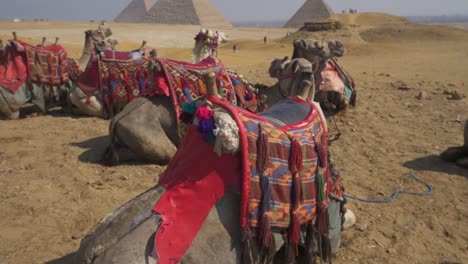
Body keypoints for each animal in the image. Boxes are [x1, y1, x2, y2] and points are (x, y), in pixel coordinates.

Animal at [101, 57, 314, 165]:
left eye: (310, 64)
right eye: (290, 66)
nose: (308, 71)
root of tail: (116, 118)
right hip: (151, 137)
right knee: (167, 152)